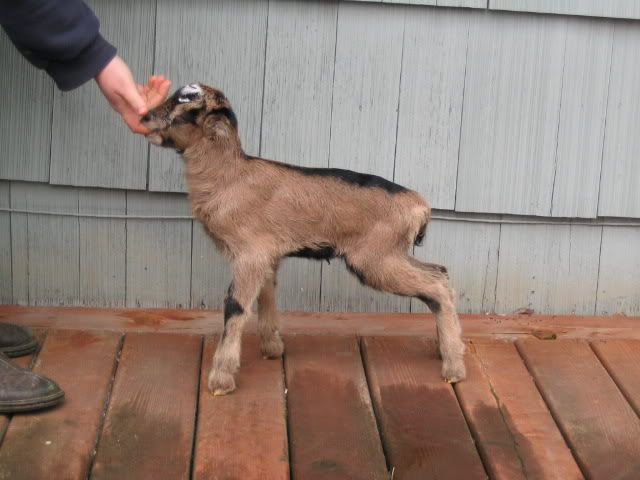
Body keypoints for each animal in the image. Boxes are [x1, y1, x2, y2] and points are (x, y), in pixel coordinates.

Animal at [141, 83, 466, 395]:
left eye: (185, 101)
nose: (144, 117)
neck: (230, 176)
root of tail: (420, 206)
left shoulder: (249, 254)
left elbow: (236, 307)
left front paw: (221, 378)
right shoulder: (268, 255)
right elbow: (267, 296)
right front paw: (272, 348)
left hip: (375, 259)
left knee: (436, 285)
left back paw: (454, 368)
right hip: (391, 254)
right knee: (441, 275)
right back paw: (450, 350)